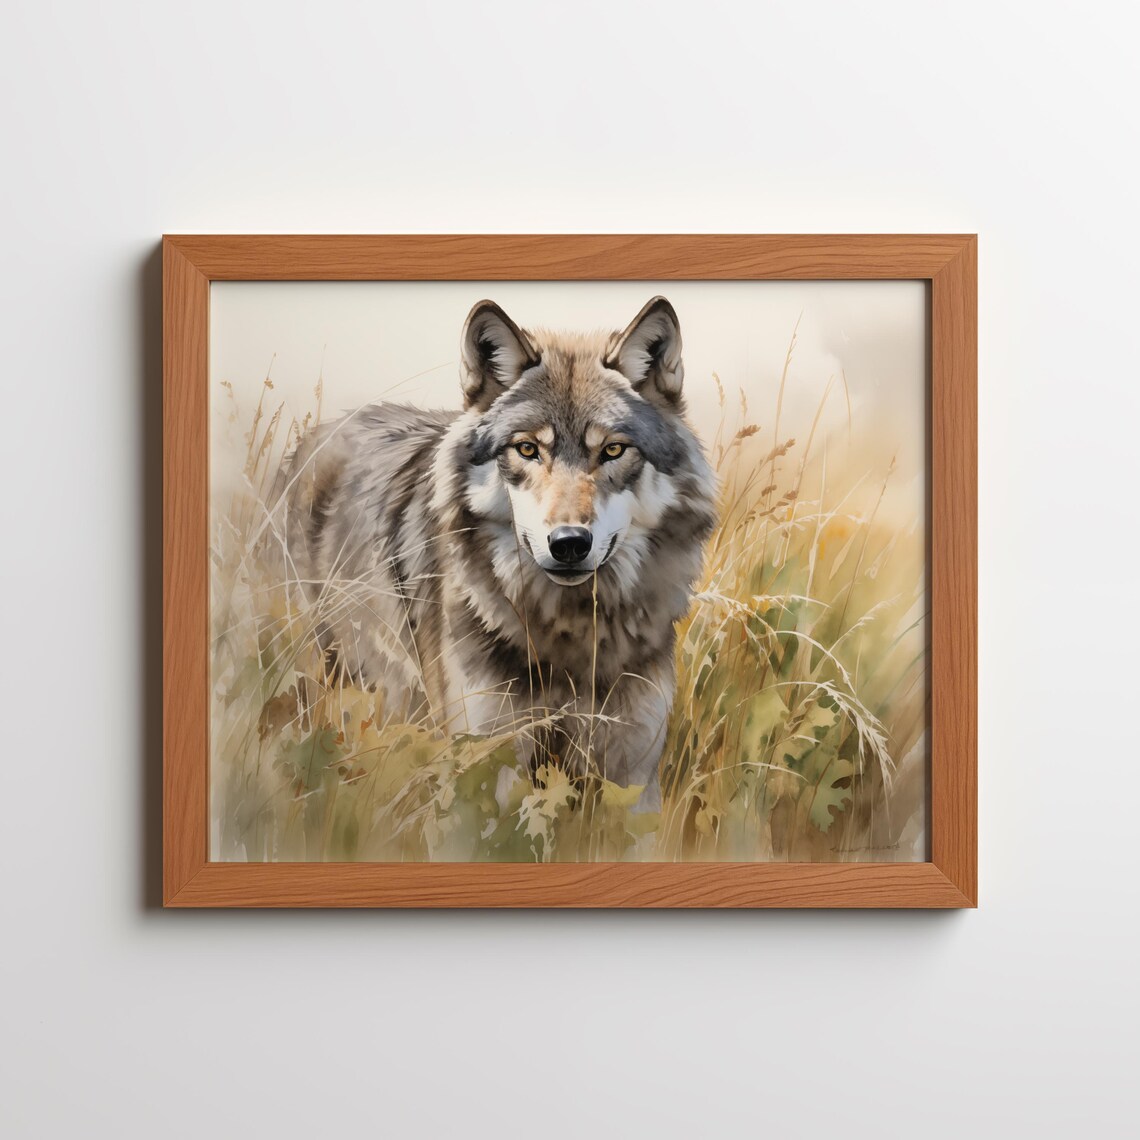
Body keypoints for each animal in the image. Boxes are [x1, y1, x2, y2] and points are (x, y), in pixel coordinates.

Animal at [281, 296, 716, 810]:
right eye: (527, 449)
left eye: (612, 450)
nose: (569, 543)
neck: (569, 639)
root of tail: (326, 429)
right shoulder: (486, 768)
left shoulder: (633, 776)